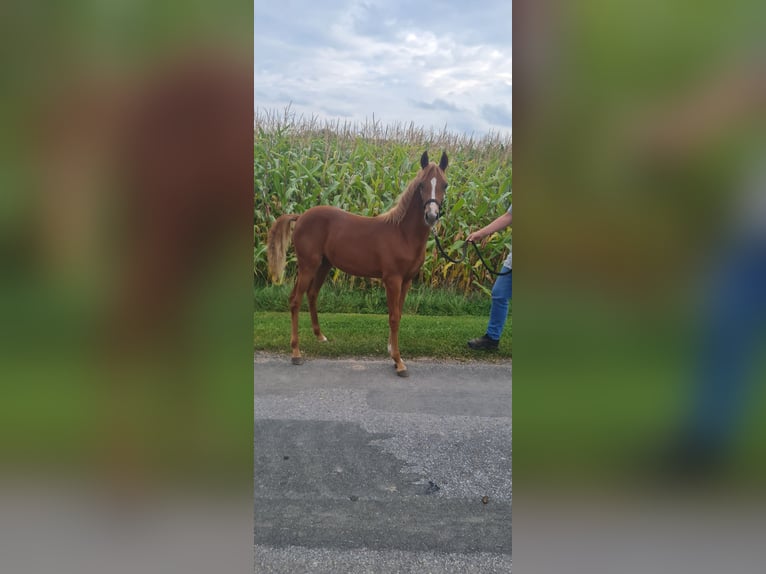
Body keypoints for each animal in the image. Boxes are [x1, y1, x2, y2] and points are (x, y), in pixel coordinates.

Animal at [270, 152, 450, 378]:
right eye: (421, 185)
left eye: (445, 184)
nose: (431, 216)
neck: (403, 234)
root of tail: (300, 216)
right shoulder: (392, 280)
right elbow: (393, 317)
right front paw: (398, 361)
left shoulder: (406, 281)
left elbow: (398, 314)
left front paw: (392, 351)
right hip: (308, 266)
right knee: (295, 300)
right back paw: (296, 352)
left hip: (323, 266)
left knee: (311, 295)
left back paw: (320, 336)